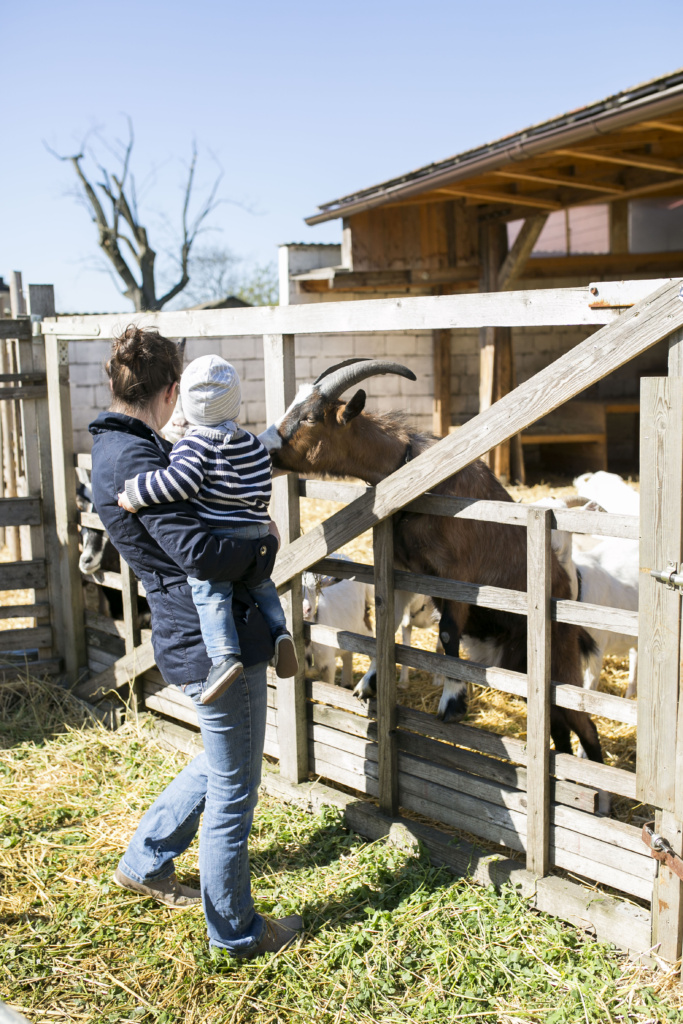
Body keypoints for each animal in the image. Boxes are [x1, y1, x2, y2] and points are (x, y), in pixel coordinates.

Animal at [260, 356, 602, 765]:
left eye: (310, 417)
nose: (264, 450)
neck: (418, 477)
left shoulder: (457, 576)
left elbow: (448, 633)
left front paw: (452, 702)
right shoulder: (404, 571)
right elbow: (389, 622)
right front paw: (369, 682)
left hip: (560, 663)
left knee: (587, 729)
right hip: (522, 666)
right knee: (561, 730)